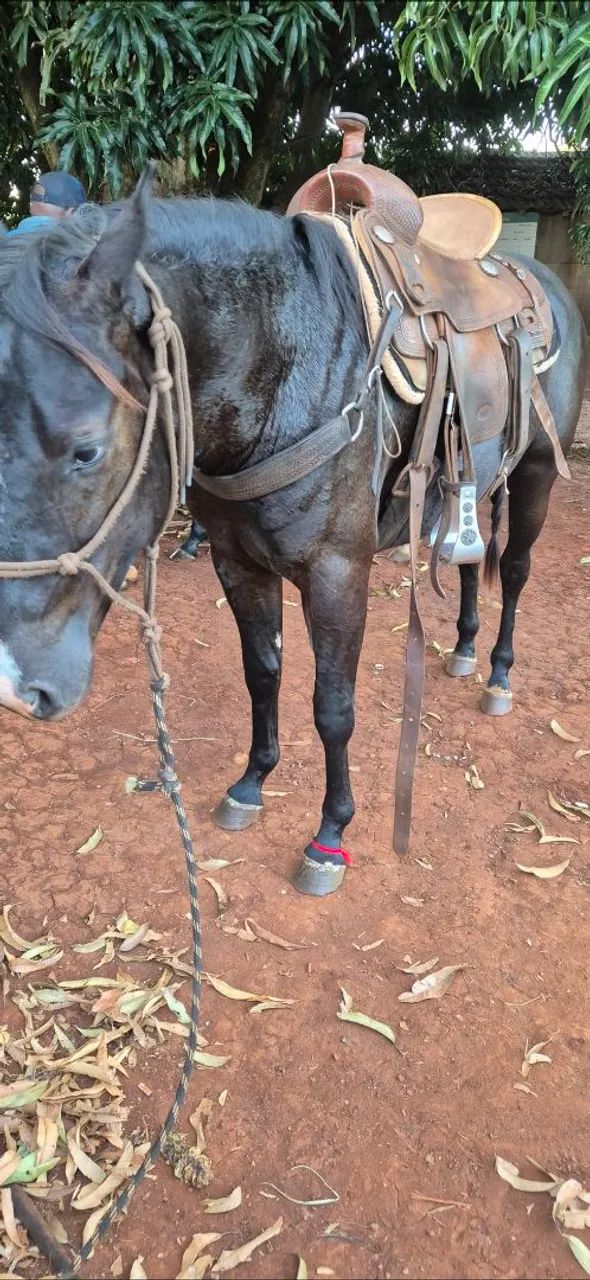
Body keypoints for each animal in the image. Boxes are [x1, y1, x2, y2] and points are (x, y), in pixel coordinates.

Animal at [0, 176, 585, 894]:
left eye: (86, 449)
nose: (17, 685)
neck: (284, 372)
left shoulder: (338, 569)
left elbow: (333, 707)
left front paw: (330, 834)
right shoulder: (236, 559)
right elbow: (263, 673)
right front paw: (252, 783)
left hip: (535, 473)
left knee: (518, 569)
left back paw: (499, 674)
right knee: (472, 560)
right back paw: (466, 648)